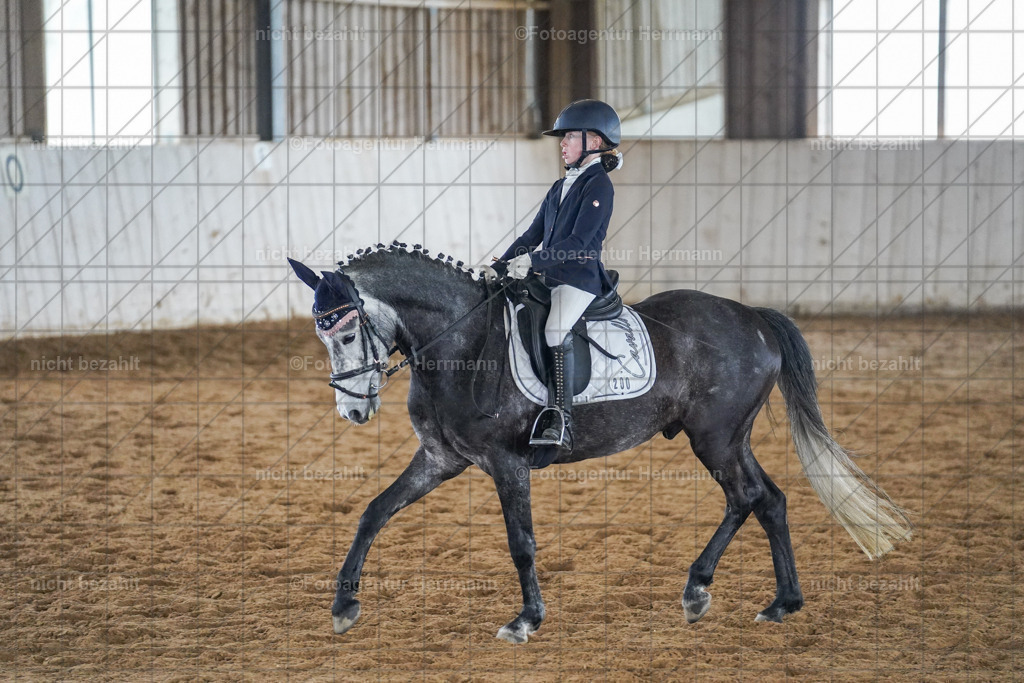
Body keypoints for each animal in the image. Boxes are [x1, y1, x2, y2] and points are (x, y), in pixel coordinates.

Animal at [287, 242, 912, 644]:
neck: (461, 343)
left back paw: (703, 591)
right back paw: (777, 602)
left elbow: (521, 544)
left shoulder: (506, 464)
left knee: (749, 496)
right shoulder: (441, 459)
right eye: (321, 333)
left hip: (715, 438)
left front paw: (525, 620)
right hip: (728, 437)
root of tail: (753, 318)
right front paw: (344, 606)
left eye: (347, 332)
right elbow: (374, 512)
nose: (353, 410)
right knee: (768, 500)